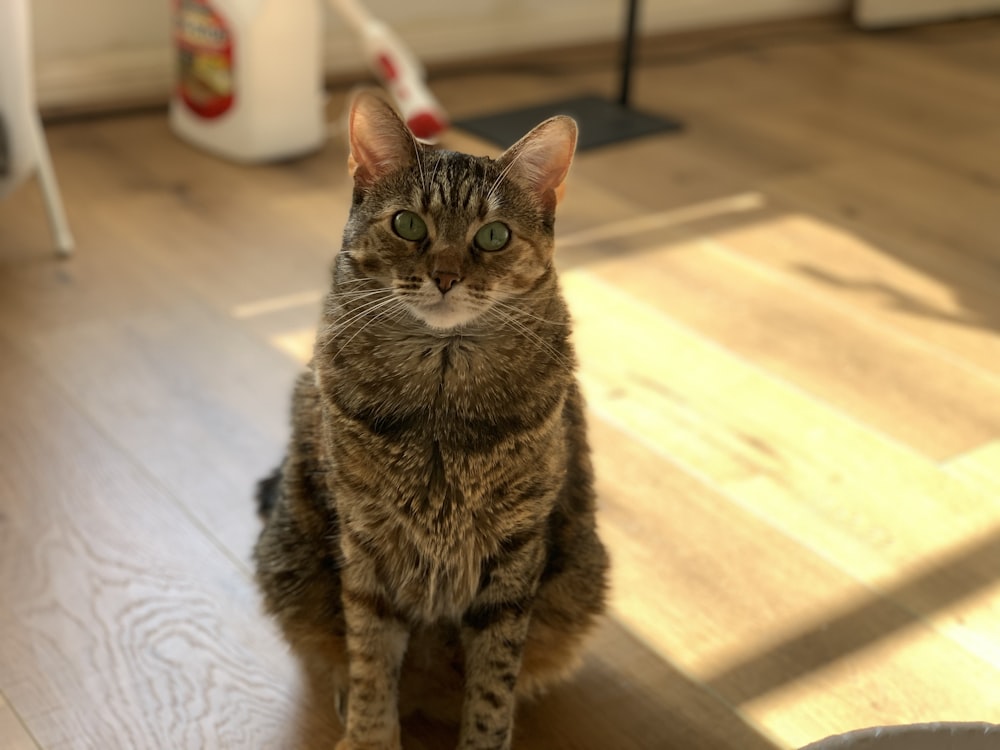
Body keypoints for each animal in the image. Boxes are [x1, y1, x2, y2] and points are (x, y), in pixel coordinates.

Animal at [254, 92, 604, 750]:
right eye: (409, 225)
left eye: (494, 235)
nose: (445, 276)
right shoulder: (366, 542)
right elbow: (370, 657)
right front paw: (368, 734)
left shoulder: (515, 552)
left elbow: (493, 682)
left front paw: (484, 737)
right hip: (286, 560)